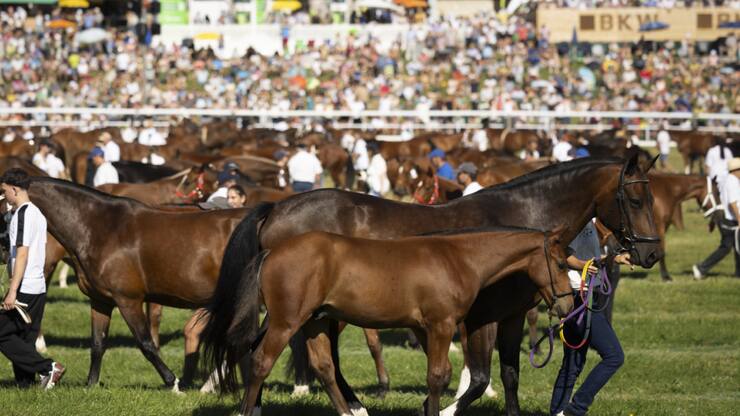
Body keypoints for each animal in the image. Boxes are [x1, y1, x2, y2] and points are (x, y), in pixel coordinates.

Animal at [23, 177, 250, 389]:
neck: (101, 228)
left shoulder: (128, 300)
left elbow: (146, 343)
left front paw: (172, 383)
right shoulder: (100, 300)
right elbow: (97, 343)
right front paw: (91, 385)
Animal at [203, 226, 574, 416]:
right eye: (559, 263)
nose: (568, 303)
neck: (458, 259)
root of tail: (270, 252)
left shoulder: (425, 328)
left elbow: (444, 375)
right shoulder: (441, 324)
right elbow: (436, 377)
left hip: (314, 322)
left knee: (324, 367)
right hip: (286, 322)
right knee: (261, 362)